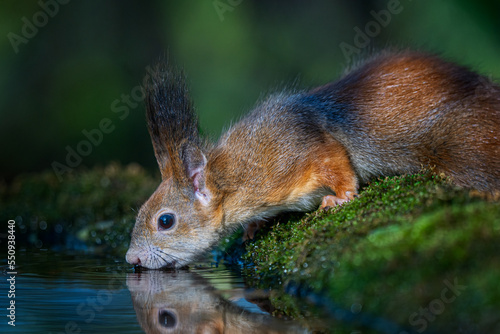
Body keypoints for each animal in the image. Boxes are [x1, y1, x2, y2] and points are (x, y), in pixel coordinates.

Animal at [126, 49, 500, 268]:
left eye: (165, 221)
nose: (132, 258)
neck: (237, 177)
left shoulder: (300, 149)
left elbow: (335, 162)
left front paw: (341, 198)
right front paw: (253, 227)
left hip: (463, 145)